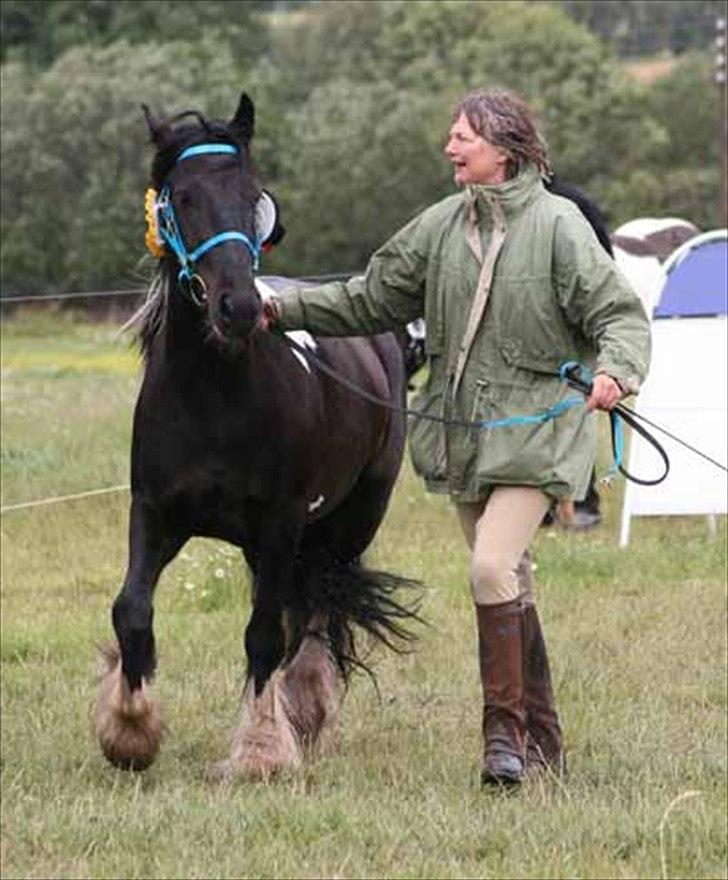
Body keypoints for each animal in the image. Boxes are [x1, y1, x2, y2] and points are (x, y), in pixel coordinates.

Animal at [94, 91, 418, 776]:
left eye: (253, 195)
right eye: (184, 196)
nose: (239, 307)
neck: (214, 395)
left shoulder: (279, 522)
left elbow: (263, 634)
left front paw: (262, 750)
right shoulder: (156, 513)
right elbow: (131, 611)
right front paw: (129, 729)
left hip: (347, 522)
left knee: (316, 611)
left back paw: (306, 709)